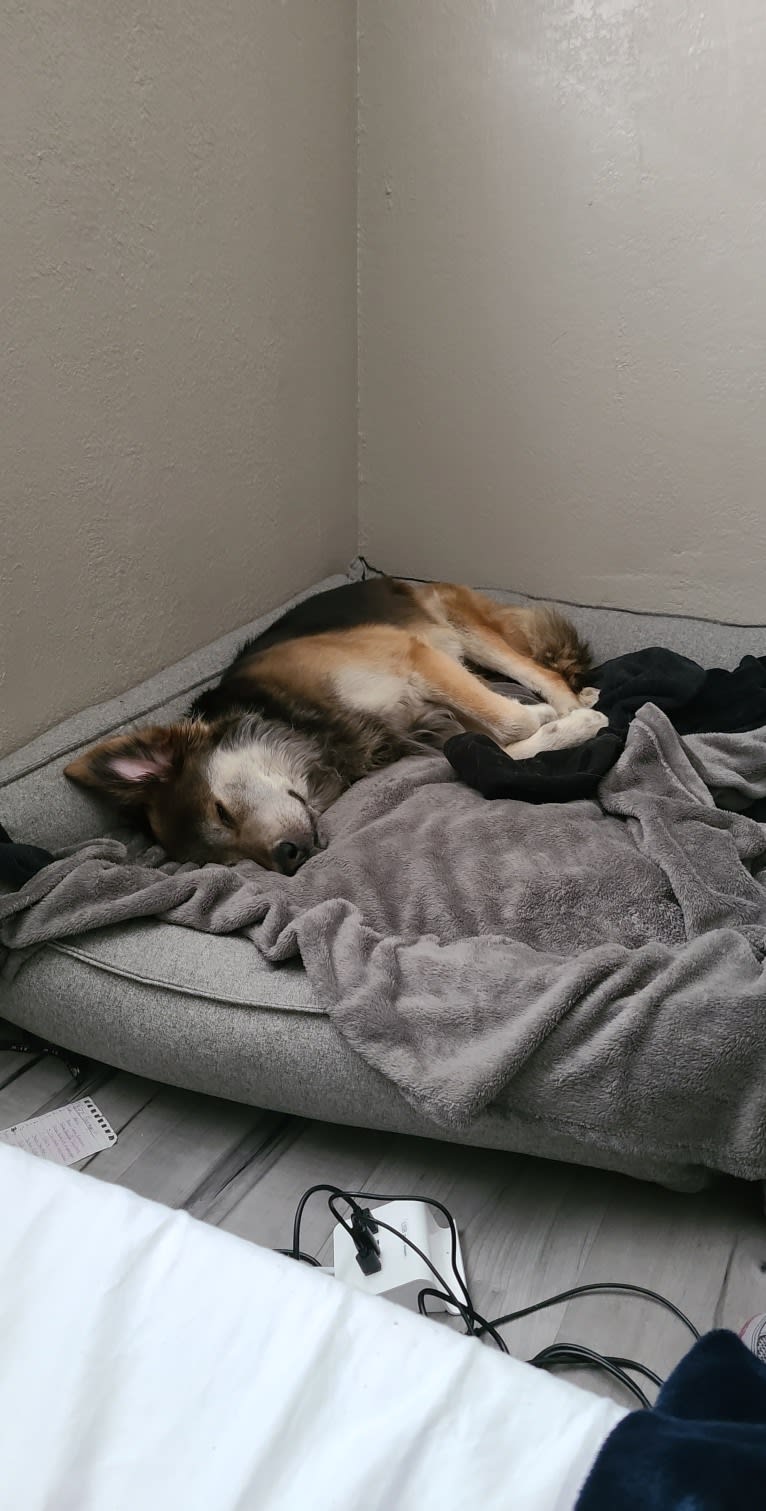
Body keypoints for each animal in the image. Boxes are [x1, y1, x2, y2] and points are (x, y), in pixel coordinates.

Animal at [66, 574, 604, 876]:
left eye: (221, 812)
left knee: (542, 671)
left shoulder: (412, 656)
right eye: (230, 861)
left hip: (464, 629)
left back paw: (574, 697)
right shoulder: (419, 732)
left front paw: (560, 719)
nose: (287, 859)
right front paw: (564, 729)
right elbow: (491, 747)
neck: (296, 722)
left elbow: (510, 722)